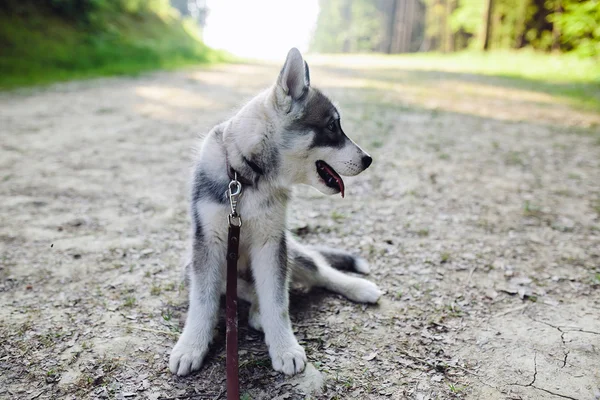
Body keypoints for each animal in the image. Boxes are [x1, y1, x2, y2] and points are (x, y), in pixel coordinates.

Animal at [169, 48, 384, 376]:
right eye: (331, 127)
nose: (369, 159)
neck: (245, 177)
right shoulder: (207, 244)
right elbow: (203, 301)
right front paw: (191, 346)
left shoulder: (272, 242)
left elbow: (277, 301)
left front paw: (285, 347)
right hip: (196, 266)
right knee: (239, 288)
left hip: (291, 251)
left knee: (319, 270)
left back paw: (358, 287)